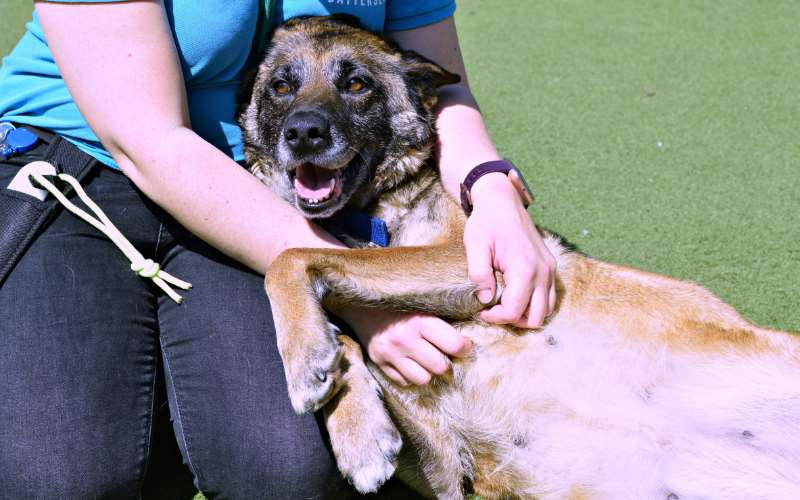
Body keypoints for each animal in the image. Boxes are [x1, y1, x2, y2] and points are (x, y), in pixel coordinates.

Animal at [239, 15, 800, 500]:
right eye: (281, 87)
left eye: (356, 84)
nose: (303, 133)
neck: (367, 218)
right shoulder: (446, 461)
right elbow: (344, 327)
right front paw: (358, 430)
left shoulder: (472, 262)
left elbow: (292, 257)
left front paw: (307, 362)